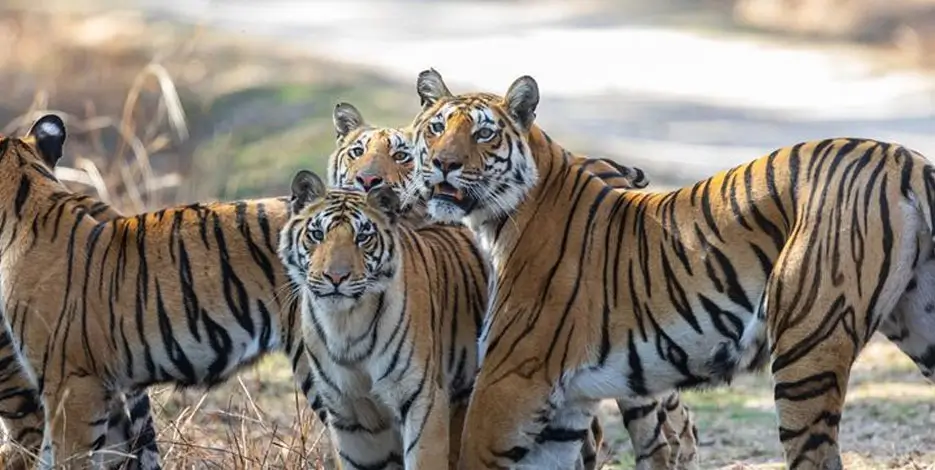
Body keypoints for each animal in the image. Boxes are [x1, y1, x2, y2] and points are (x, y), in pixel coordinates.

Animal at [278, 172, 489, 469]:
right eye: (317, 234)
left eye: (363, 237)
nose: (336, 277)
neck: (345, 325)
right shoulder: (348, 415)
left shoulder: (422, 399)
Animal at [408, 68, 935, 470]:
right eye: (436, 129)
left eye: (483, 132)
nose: (443, 164)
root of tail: (906, 159)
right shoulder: (563, 410)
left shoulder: (510, 380)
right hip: (920, 326)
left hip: (808, 343)